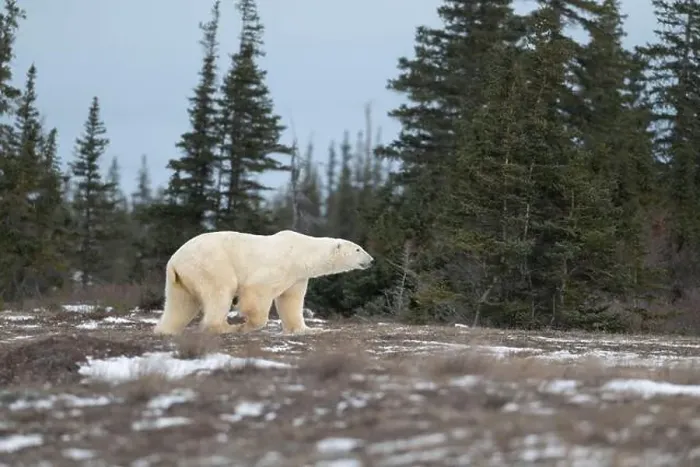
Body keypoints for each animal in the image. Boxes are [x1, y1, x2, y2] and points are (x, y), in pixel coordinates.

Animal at [153, 229, 374, 336]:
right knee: (220, 292)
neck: (302, 252)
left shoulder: (296, 276)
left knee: (180, 304)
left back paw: (165, 330)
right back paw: (227, 327)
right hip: (211, 265)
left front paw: (305, 329)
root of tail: (175, 261)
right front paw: (248, 324)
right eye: (358, 249)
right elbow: (257, 291)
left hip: (181, 279)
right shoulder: (279, 265)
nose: (371, 260)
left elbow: (290, 300)